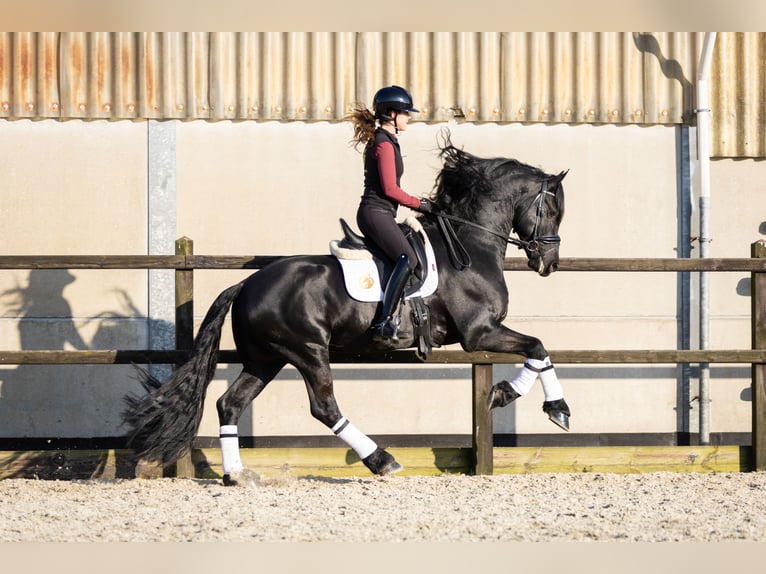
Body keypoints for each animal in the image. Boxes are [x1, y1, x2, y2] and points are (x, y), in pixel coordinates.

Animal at [124, 135, 568, 486]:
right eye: (551, 210)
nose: (549, 263)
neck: (469, 246)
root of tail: (247, 285)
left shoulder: (484, 333)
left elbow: (538, 350)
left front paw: (520, 397)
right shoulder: (480, 332)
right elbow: (538, 346)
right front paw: (545, 406)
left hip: (267, 358)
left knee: (229, 404)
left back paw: (237, 475)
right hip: (307, 351)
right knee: (324, 407)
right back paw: (382, 460)